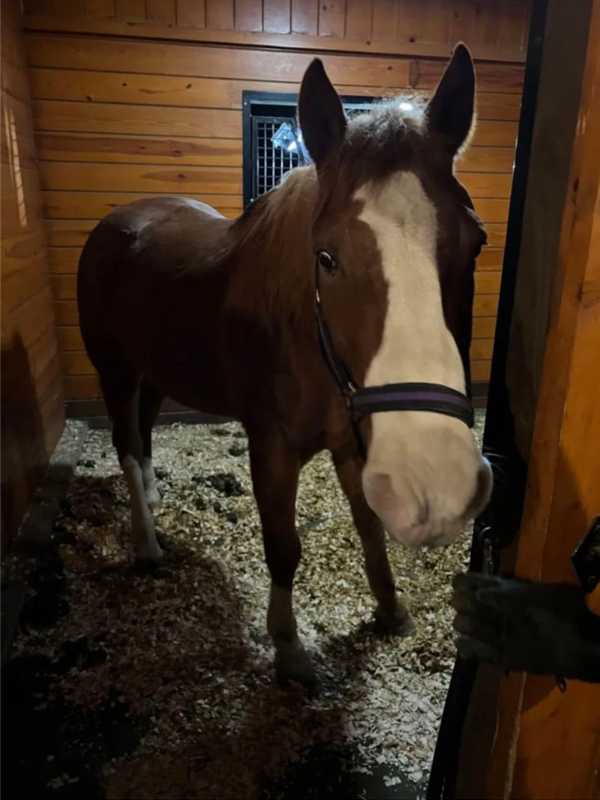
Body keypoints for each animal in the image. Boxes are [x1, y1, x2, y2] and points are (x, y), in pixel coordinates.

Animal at [78, 43, 492, 684]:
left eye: (476, 243)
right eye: (326, 257)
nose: (436, 478)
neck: (307, 340)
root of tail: (117, 223)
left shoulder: (353, 444)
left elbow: (369, 526)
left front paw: (391, 610)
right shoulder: (270, 446)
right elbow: (283, 545)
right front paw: (290, 648)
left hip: (155, 373)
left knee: (143, 436)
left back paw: (153, 500)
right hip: (116, 372)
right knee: (124, 444)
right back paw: (145, 545)